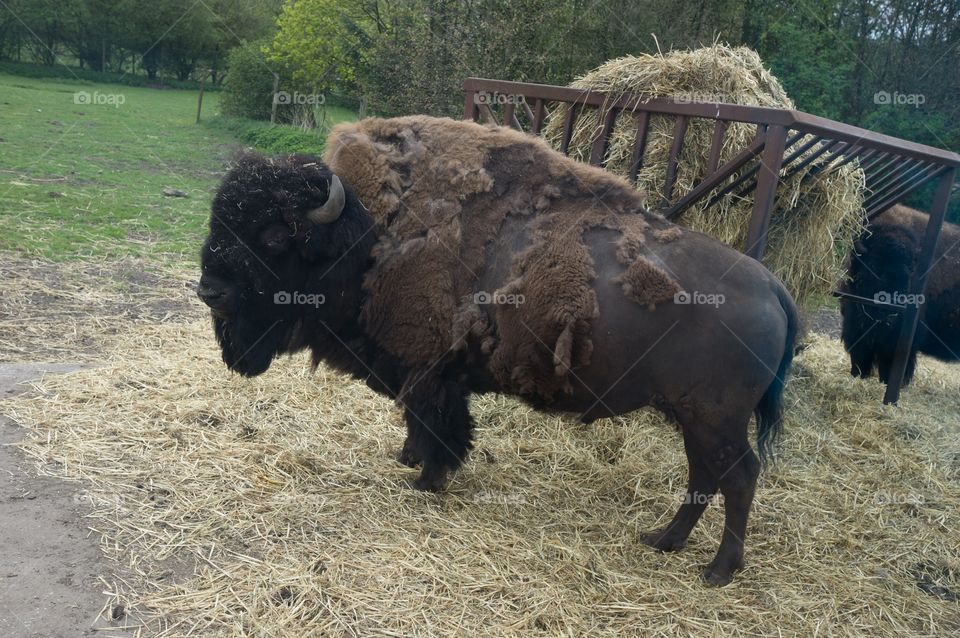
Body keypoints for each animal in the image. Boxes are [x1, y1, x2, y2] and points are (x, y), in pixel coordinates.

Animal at [197, 116, 798, 585]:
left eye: (275, 235)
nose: (209, 290)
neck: (366, 238)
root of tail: (772, 286)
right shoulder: (421, 375)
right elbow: (417, 422)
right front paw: (409, 459)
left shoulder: (431, 375)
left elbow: (439, 426)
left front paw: (426, 480)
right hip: (690, 415)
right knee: (704, 476)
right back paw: (662, 540)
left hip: (714, 418)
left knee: (738, 477)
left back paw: (718, 570)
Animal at [841, 204, 960, 384]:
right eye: (875, 266)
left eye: (911, 269)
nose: (892, 312)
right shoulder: (854, 326)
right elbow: (859, 358)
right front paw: (857, 375)